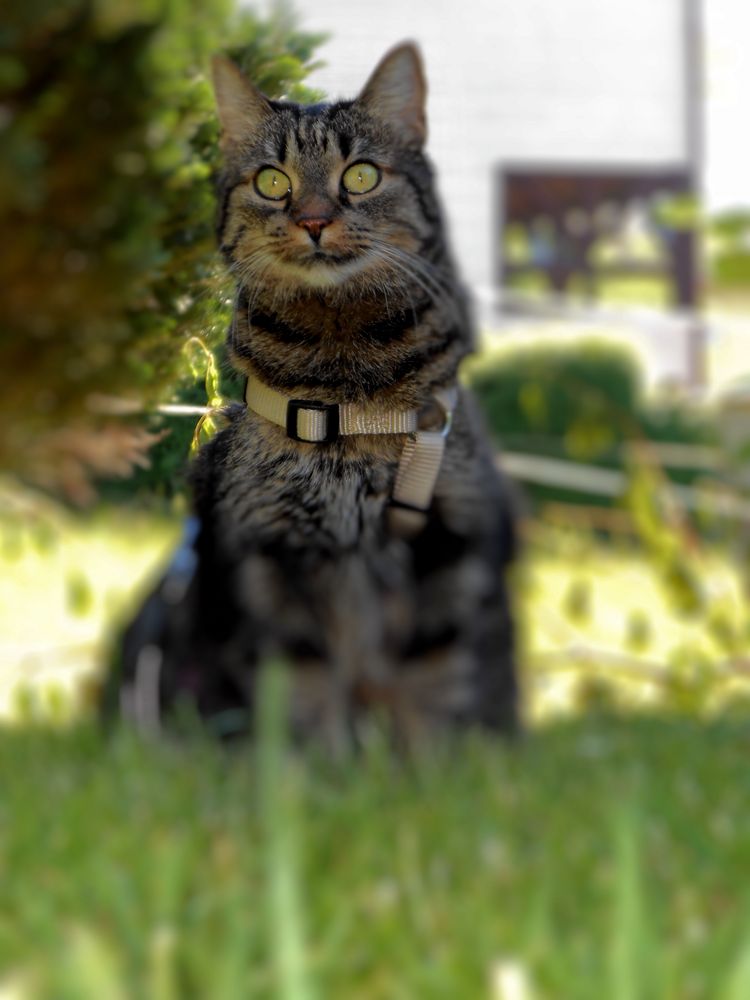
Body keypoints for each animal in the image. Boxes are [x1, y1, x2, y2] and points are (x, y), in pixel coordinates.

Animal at [106, 43, 520, 748]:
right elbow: (299, 690)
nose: (314, 220)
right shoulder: (272, 557)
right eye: (274, 182)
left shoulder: (449, 544)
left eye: (361, 176)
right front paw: (313, 771)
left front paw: (436, 772)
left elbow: (434, 686)